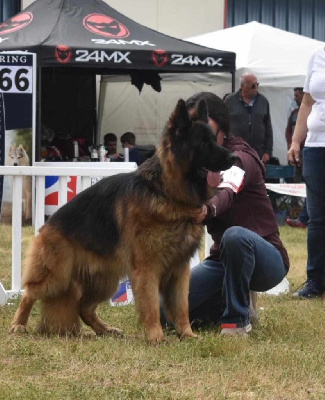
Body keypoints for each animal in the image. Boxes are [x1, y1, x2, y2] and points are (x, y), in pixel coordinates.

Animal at [10, 98, 235, 342]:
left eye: (214, 139)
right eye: (202, 143)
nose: (234, 157)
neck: (166, 192)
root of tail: (49, 223)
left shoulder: (180, 269)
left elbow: (182, 307)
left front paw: (187, 335)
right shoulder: (147, 267)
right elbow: (152, 305)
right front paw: (156, 337)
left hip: (104, 280)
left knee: (83, 307)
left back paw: (105, 330)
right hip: (57, 277)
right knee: (29, 294)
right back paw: (18, 324)